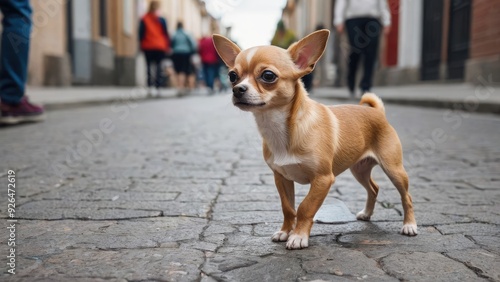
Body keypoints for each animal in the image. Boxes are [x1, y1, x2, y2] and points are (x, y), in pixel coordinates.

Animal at [213, 29, 416, 249]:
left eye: (268, 76)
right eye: (232, 76)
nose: (237, 89)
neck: (280, 128)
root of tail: (378, 112)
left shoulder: (323, 179)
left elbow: (305, 207)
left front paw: (298, 236)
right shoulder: (281, 178)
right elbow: (288, 208)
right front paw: (285, 231)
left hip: (393, 169)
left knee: (406, 196)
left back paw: (409, 225)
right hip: (359, 169)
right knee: (374, 188)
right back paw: (367, 214)